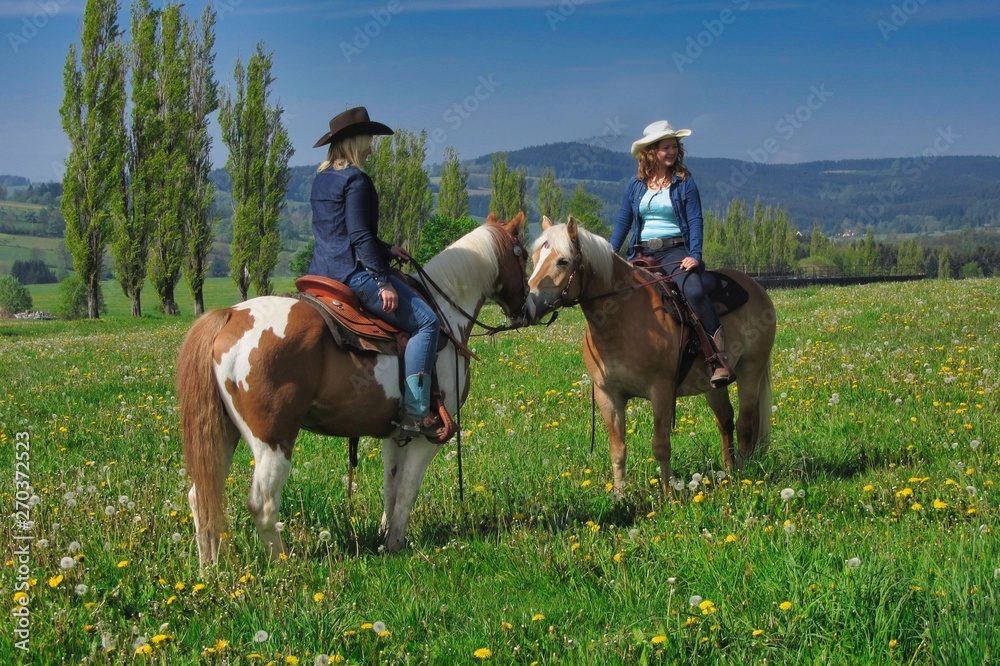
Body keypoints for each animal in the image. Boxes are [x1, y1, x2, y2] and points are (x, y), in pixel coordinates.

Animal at [176, 213, 528, 567]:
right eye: (523, 254)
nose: (527, 307)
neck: (445, 314)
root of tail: (229, 316)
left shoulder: (399, 434)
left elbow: (391, 487)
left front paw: (385, 538)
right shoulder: (429, 437)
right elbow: (408, 489)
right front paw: (396, 543)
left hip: (223, 432)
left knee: (201, 496)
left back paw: (210, 569)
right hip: (273, 440)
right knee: (262, 504)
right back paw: (283, 566)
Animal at [525, 216, 775, 497]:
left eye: (562, 261)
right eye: (534, 258)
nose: (529, 305)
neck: (622, 316)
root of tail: (756, 287)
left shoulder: (662, 390)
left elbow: (661, 445)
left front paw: (668, 496)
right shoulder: (607, 395)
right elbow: (617, 449)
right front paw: (620, 495)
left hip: (751, 370)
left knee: (745, 423)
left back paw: (742, 473)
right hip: (713, 385)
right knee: (725, 421)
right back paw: (729, 470)